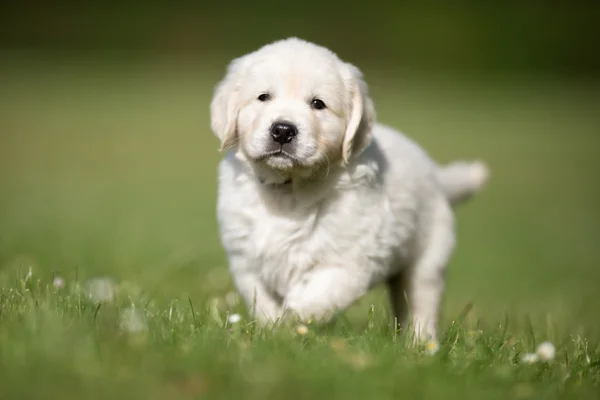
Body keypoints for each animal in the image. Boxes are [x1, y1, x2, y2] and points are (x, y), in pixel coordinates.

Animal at [210, 38, 488, 340]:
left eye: (318, 104)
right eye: (263, 97)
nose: (283, 130)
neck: (289, 189)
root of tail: (437, 174)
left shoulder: (350, 259)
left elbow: (315, 297)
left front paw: (293, 321)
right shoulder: (245, 259)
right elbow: (262, 301)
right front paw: (273, 331)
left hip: (427, 257)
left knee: (421, 303)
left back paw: (420, 343)